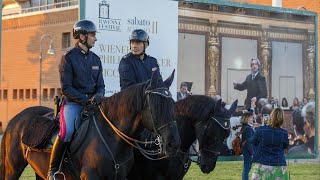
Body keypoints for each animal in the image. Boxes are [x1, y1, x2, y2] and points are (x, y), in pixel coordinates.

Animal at [0, 72, 180, 180]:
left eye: (172, 104)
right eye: (156, 105)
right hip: (12, 170)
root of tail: (15, 121)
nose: (173, 144)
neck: (112, 136)